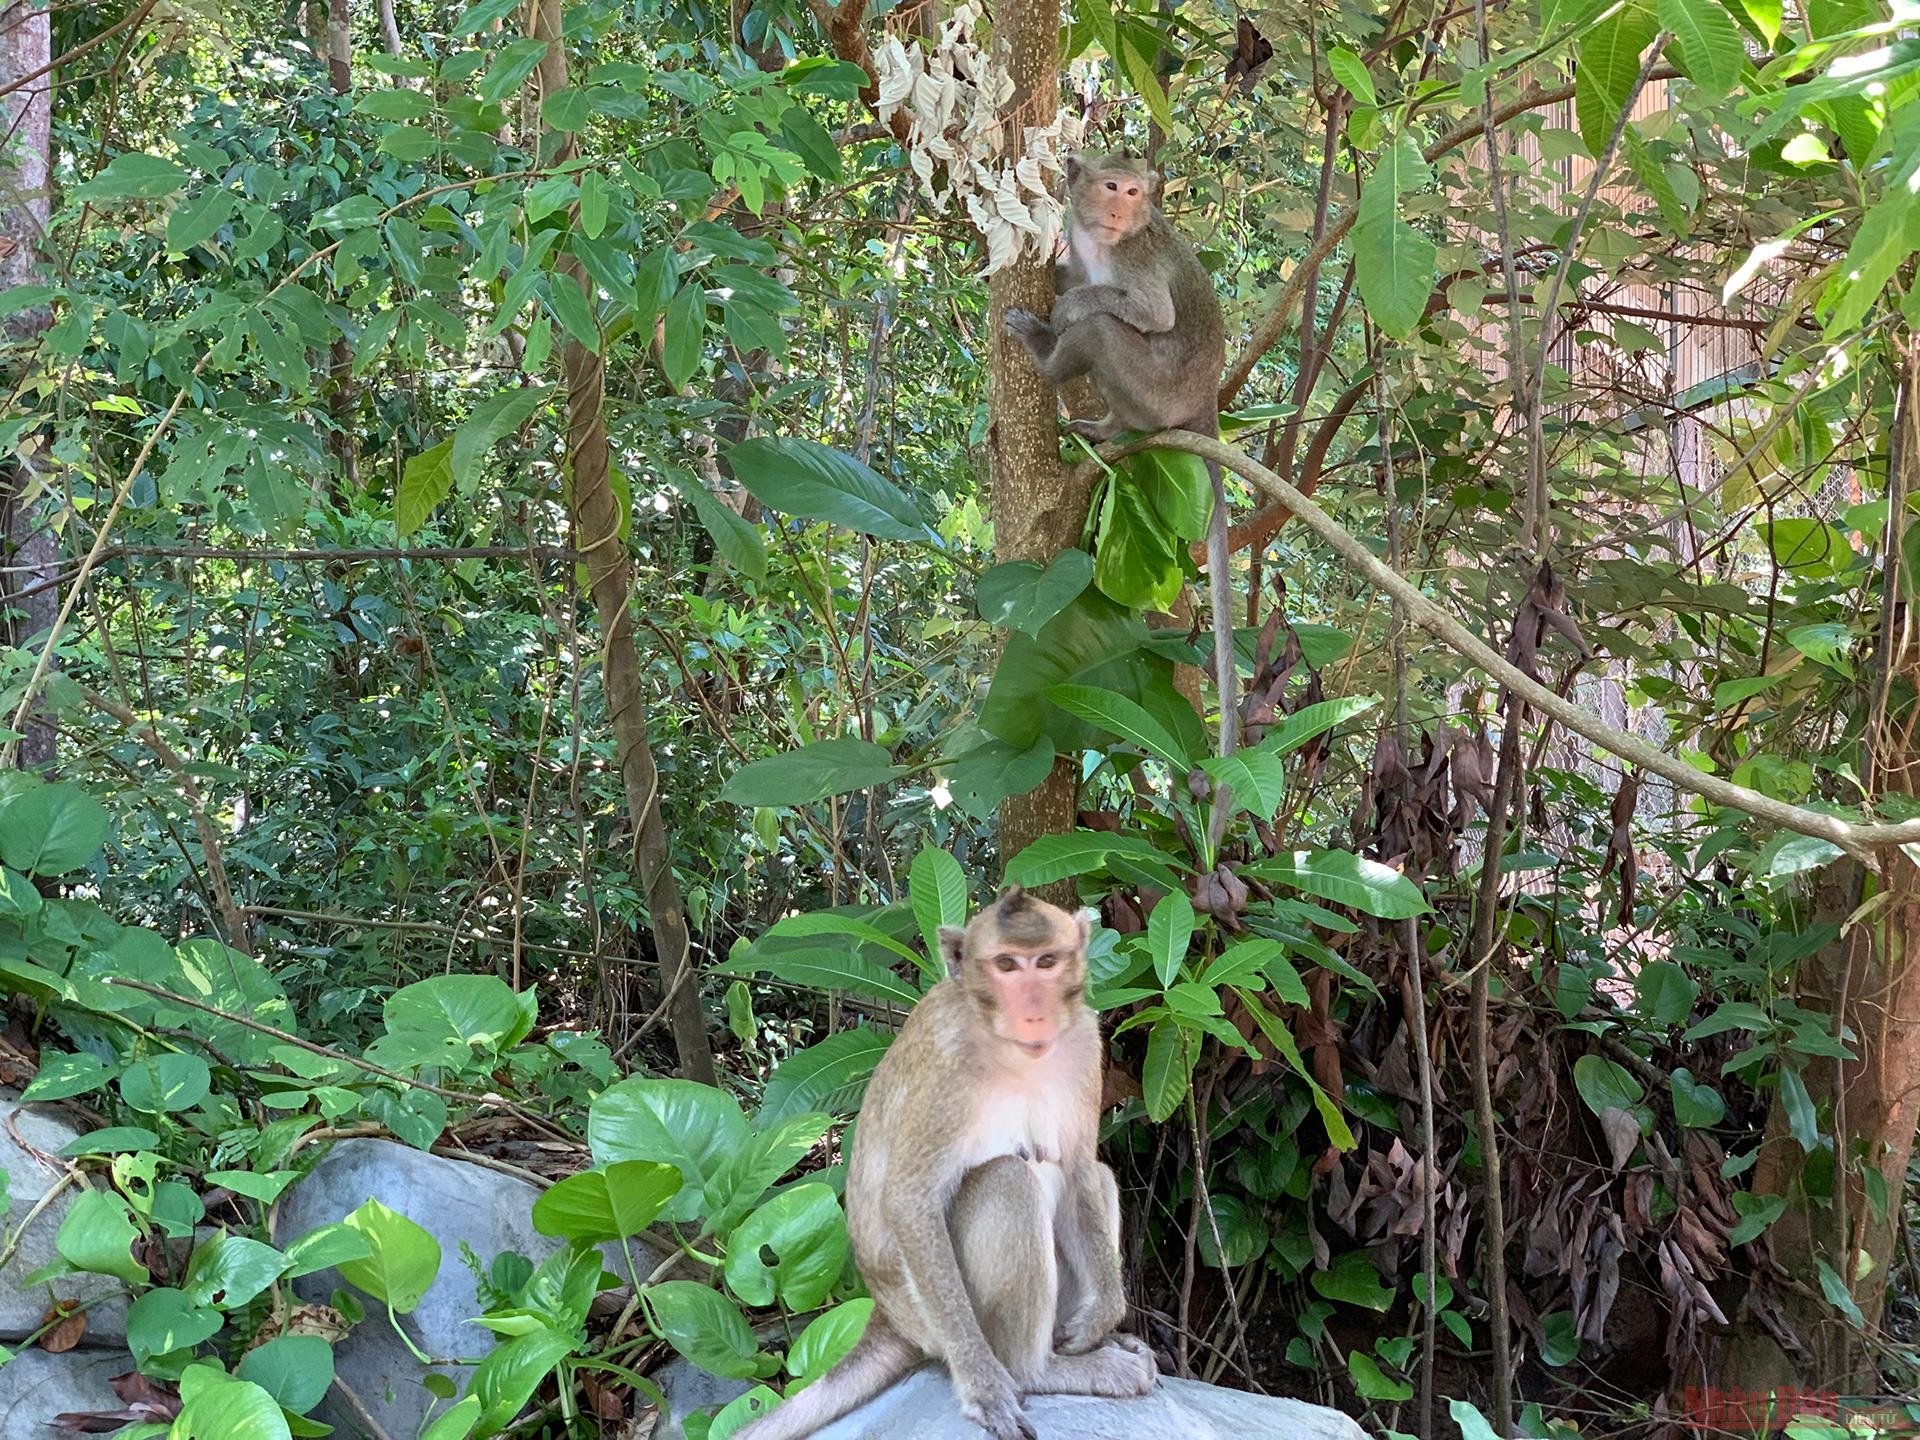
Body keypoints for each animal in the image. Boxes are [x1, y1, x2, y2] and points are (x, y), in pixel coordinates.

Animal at [729, 890, 1152, 1440]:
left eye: (1046, 962)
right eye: (1005, 965)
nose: (1033, 1013)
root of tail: (886, 1314)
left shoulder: (1083, 1040)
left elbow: (1081, 1168)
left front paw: (1102, 1317)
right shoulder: (947, 1070)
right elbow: (909, 1201)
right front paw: (983, 1385)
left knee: (1090, 1176)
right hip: (929, 1316)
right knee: (1007, 1181)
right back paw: (1040, 1370)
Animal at [1006, 155, 1244, 814]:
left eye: (1135, 193)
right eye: (1111, 186)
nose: (1119, 207)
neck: (1105, 239)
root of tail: (1204, 398)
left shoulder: (1135, 260)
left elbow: (1146, 313)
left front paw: (1068, 308)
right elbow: (1070, 270)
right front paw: (1059, 270)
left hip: (1156, 387)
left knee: (1106, 332)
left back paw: (1048, 357)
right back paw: (1110, 427)